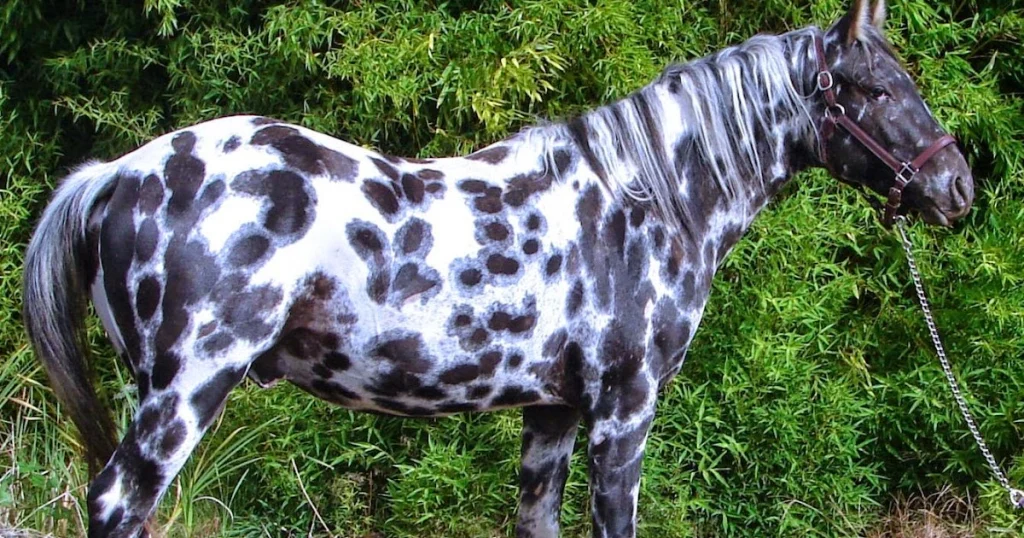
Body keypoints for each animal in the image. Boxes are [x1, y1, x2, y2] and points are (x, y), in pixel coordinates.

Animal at [22, 0, 974, 536]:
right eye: (875, 89)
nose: (958, 186)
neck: (644, 202)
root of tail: (117, 174)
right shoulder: (623, 414)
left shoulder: (550, 413)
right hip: (183, 395)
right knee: (114, 508)